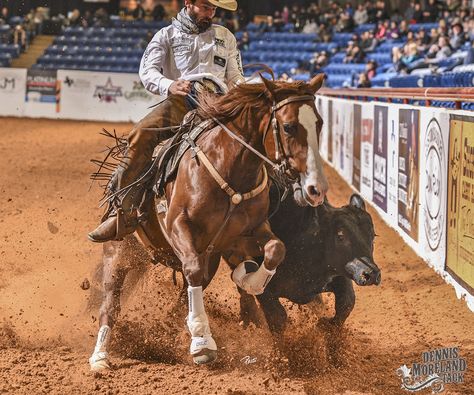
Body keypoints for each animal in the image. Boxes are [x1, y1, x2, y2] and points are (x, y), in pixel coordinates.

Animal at [89, 74, 328, 372]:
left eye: (319, 123)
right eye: (288, 126)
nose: (316, 189)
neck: (229, 168)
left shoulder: (247, 232)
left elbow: (275, 250)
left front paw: (249, 279)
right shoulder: (179, 226)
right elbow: (192, 270)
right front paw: (202, 342)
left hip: (207, 258)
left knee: (185, 295)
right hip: (120, 250)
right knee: (111, 304)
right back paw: (100, 356)